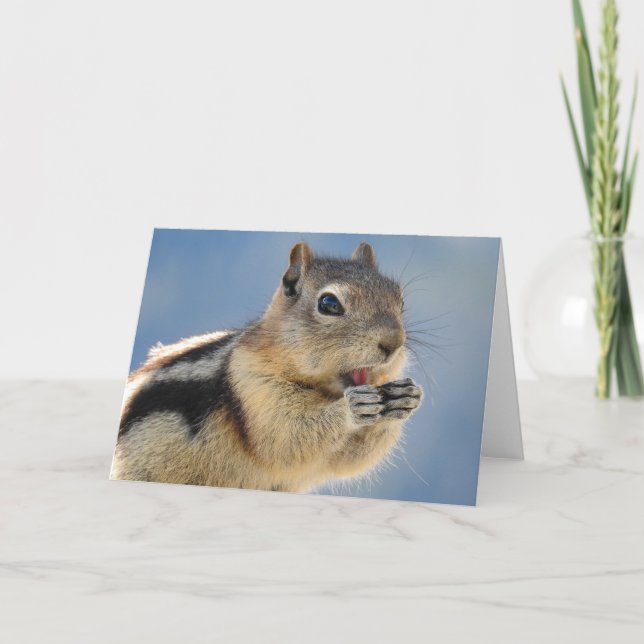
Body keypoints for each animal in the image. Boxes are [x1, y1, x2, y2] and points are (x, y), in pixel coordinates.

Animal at [110, 241, 423, 493]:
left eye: (400, 299)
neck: (323, 390)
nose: (393, 342)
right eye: (329, 303)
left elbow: (351, 458)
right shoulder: (252, 386)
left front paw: (407, 397)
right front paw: (351, 408)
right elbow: (286, 436)